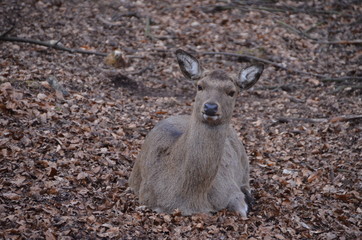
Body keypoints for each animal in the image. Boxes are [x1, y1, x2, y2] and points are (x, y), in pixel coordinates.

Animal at [129, 49, 264, 217]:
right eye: (200, 86)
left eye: (232, 92)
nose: (210, 107)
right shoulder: (147, 196)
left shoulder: (231, 189)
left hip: (244, 163)